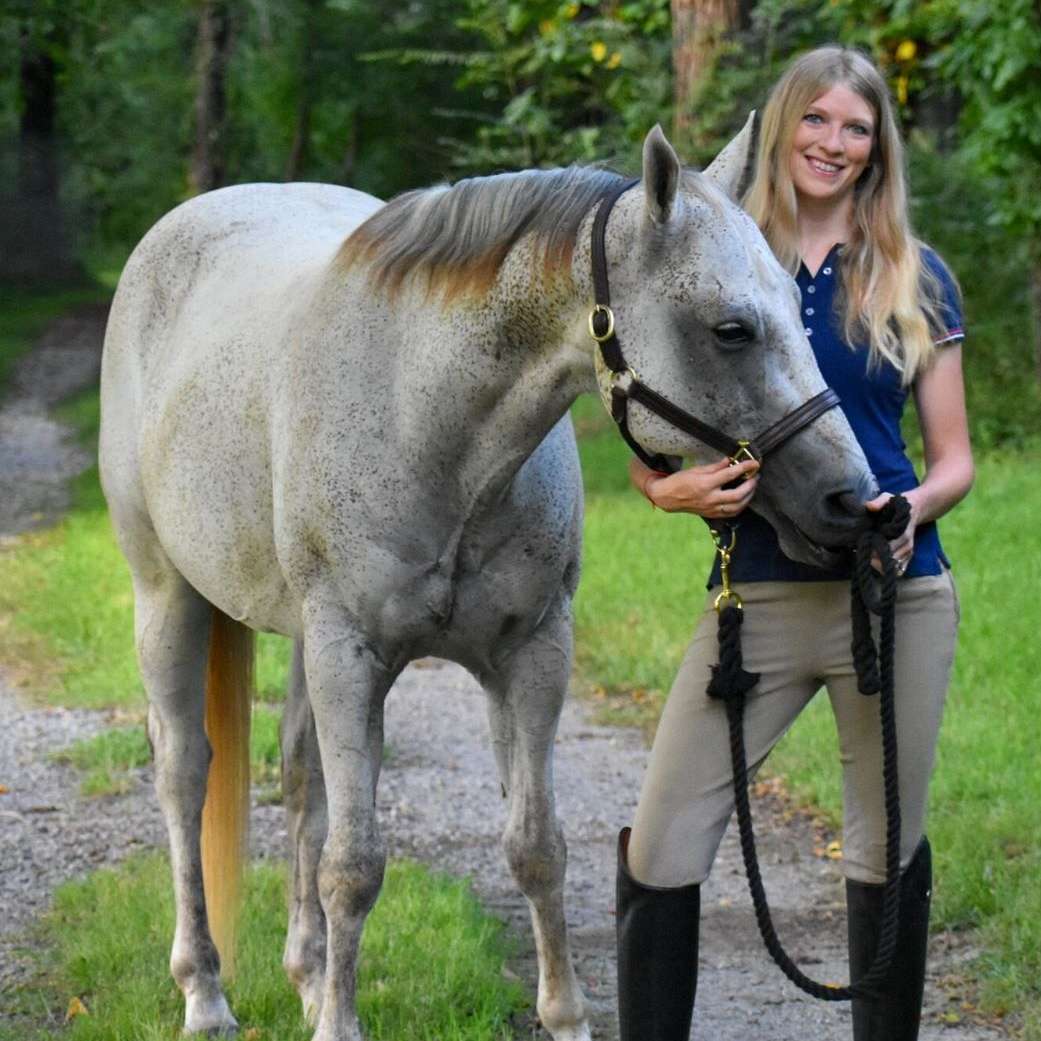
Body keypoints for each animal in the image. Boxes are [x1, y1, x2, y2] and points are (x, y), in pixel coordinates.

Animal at [97, 123, 874, 1041]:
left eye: (796, 305)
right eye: (730, 330)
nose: (851, 500)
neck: (425, 420)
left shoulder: (530, 654)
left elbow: (536, 847)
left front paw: (565, 1018)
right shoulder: (349, 657)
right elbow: (354, 864)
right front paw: (339, 1025)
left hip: (300, 642)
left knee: (299, 778)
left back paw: (309, 974)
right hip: (168, 600)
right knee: (184, 775)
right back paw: (205, 992)